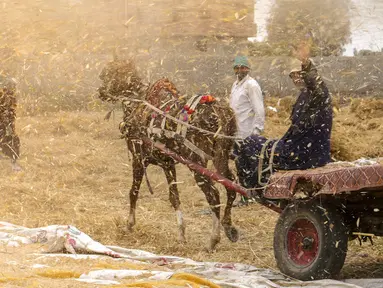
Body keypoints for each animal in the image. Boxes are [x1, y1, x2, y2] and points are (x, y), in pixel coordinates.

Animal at [97, 59, 238, 251]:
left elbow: (133, 192)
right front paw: (181, 233)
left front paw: (129, 224)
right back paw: (228, 226)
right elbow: (174, 197)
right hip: (220, 158)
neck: (139, 105)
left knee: (214, 195)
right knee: (231, 186)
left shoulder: (138, 159)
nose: (100, 92)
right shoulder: (167, 163)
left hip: (196, 163)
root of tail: (217, 110)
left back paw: (213, 239)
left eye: (107, 73)